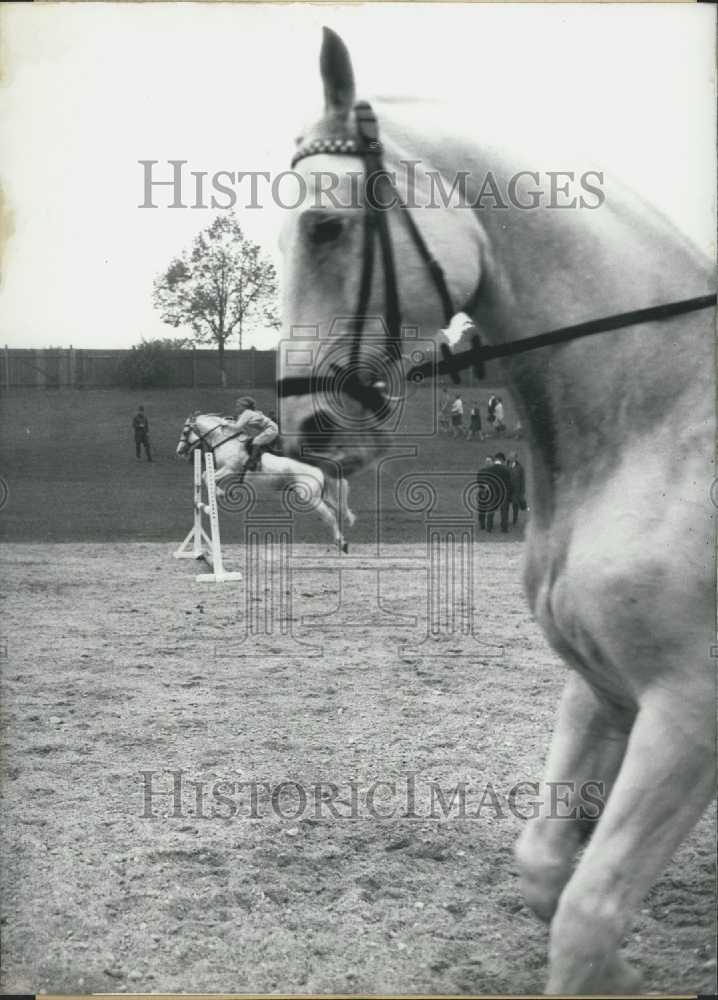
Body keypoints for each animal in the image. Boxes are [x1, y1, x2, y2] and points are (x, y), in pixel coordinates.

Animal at [174, 414, 354, 556]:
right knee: (338, 509)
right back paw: (343, 537)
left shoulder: (230, 469)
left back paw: (341, 543)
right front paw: (222, 492)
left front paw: (221, 493)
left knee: (330, 517)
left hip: (311, 498)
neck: (225, 442)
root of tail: (318, 468)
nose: (179, 451)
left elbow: (206, 476)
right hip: (322, 495)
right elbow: (206, 476)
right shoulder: (226, 471)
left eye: (185, 432)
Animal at [278, 29, 718, 992]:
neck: (658, 422)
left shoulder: (688, 712)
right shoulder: (602, 688)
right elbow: (549, 871)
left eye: (323, 226)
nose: (306, 427)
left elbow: (584, 919)